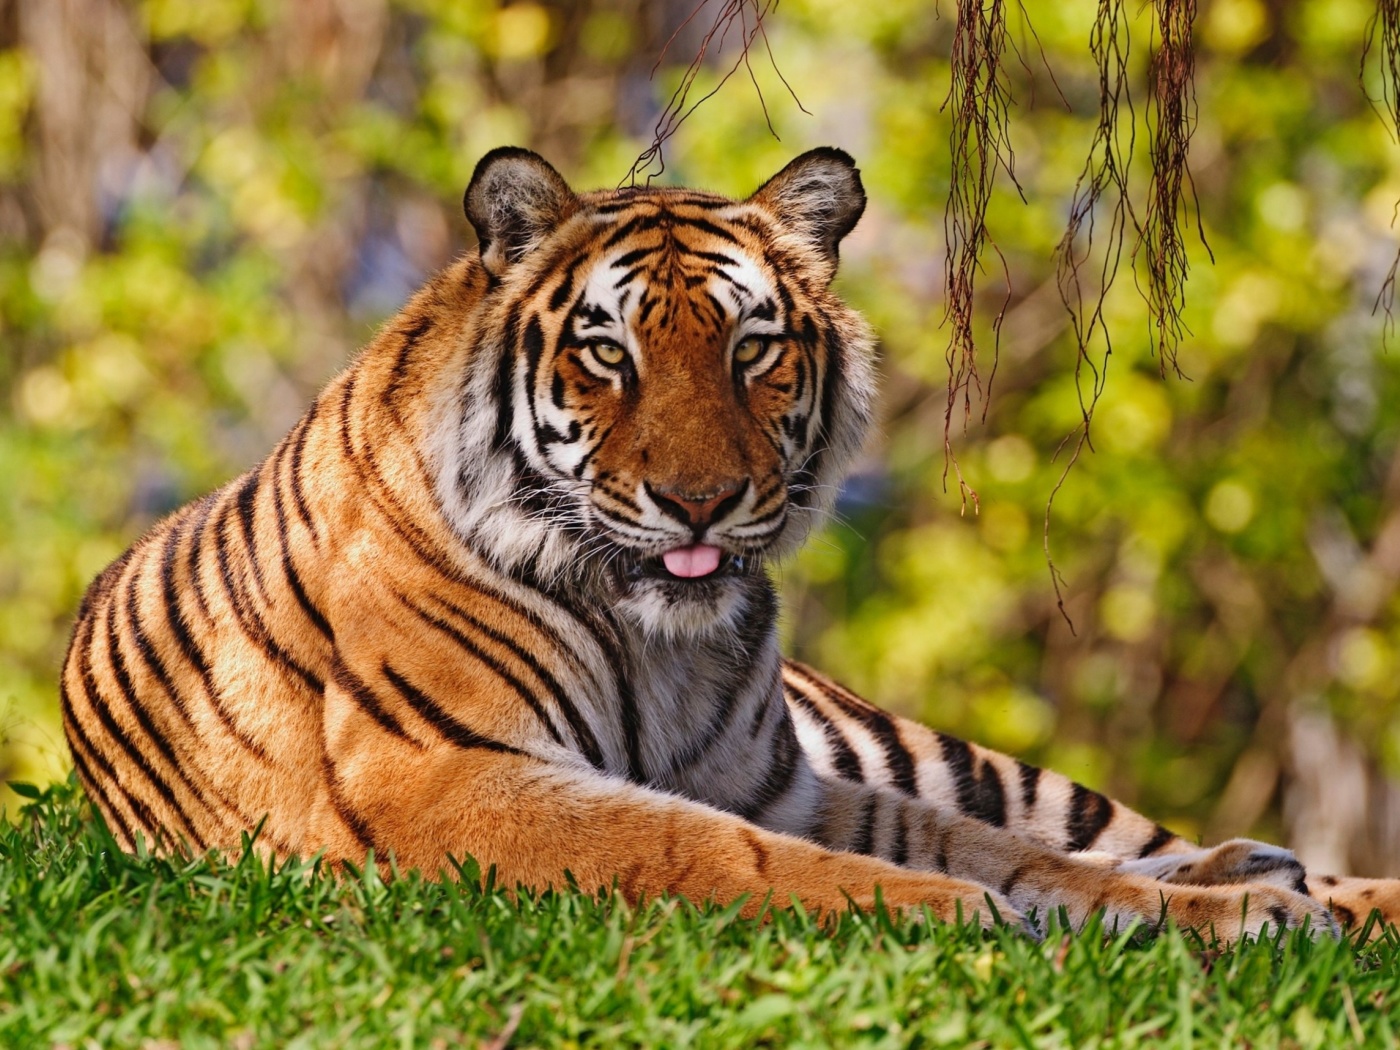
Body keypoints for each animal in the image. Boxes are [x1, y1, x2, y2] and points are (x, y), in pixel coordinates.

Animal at [63, 146, 1400, 935]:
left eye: (752, 348)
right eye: (606, 351)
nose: (699, 501)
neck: (661, 639)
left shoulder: (785, 780)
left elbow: (1015, 854)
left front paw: (1217, 916)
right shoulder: (451, 777)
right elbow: (713, 852)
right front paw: (954, 912)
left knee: (1116, 834)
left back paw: (1276, 878)